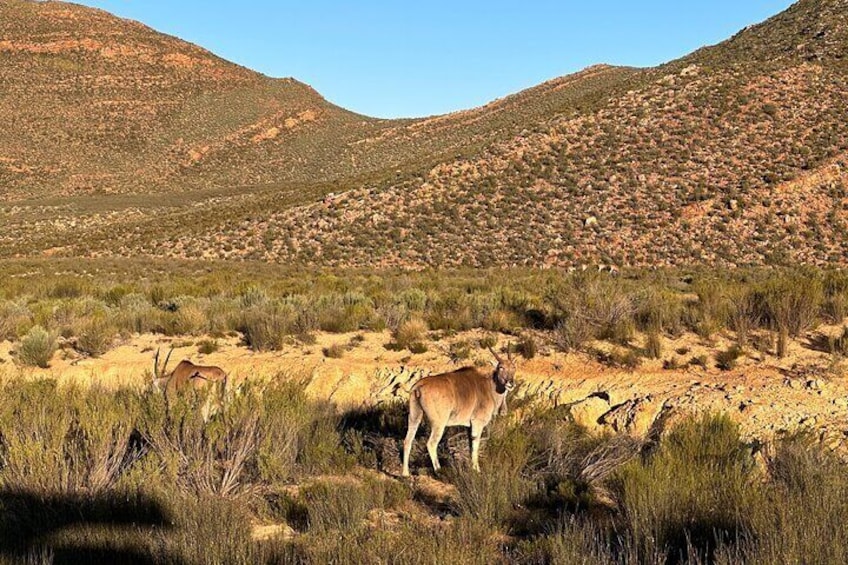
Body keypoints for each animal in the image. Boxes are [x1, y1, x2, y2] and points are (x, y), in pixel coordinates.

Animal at [402, 344, 516, 476]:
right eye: (501, 367)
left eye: (513, 368)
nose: (511, 383)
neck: (489, 387)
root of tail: (418, 386)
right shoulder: (477, 423)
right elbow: (475, 444)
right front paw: (476, 470)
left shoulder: (469, 426)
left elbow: (470, 445)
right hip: (439, 423)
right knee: (431, 444)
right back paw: (440, 471)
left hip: (414, 417)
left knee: (407, 441)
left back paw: (405, 473)